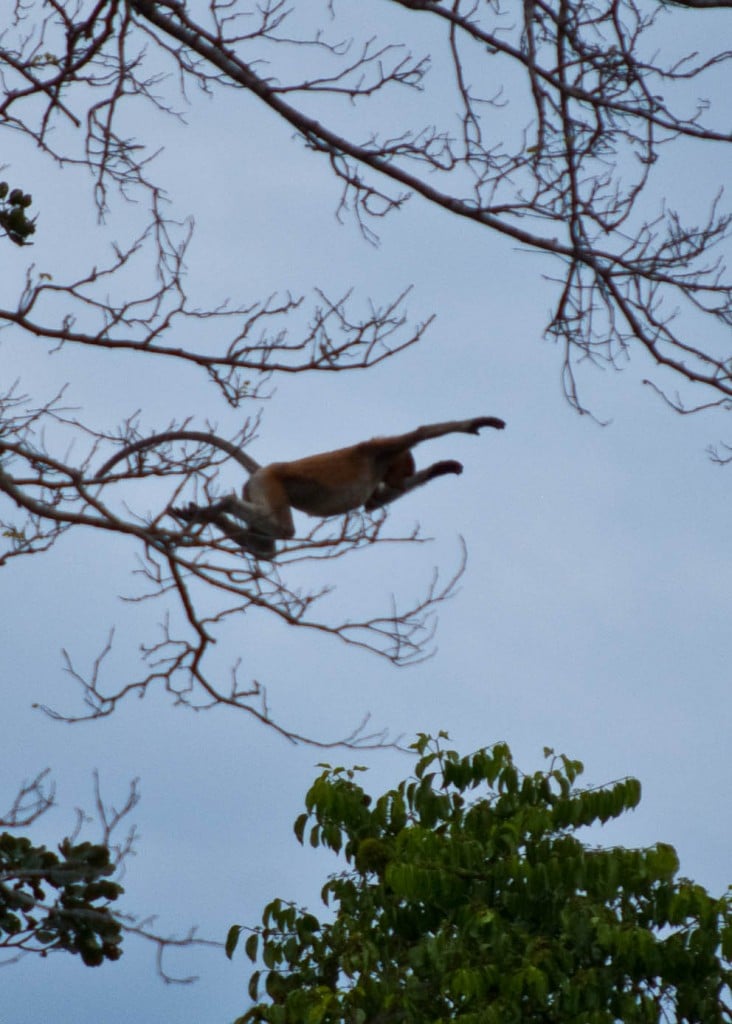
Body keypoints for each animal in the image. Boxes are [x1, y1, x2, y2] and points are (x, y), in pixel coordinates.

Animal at [96, 416, 506, 557]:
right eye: (405, 467)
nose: (402, 475)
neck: (382, 464)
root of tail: (262, 469)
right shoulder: (377, 450)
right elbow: (421, 433)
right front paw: (476, 424)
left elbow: (375, 503)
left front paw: (443, 467)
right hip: (271, 483)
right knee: (282, 530)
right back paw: (220, 506)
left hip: (257, 488)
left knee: (268, 547)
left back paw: (210, 518)